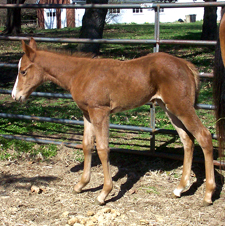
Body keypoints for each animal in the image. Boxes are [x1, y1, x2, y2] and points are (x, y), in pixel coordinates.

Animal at [11, 38, 215, 205]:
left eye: (23, 71)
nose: (15, 96)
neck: (79, 73)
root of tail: (186, 64)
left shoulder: (100, 112)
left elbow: (102, 149)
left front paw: (104, 193)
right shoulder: (87, 113)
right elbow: (87, 145)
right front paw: (80, 185)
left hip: (181, 107)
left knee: (204, 136)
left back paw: (208, 195)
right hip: (169, 108)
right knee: (187, 140)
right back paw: (180, 188)